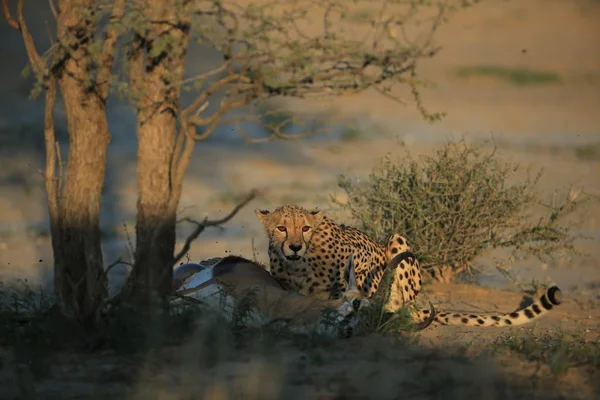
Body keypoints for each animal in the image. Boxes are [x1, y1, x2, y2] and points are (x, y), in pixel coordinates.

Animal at [254, 205, 564, 326]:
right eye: (281, 228)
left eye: (306, 228)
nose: (295, 246)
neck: (300, 265)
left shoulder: (364, 257)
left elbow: (363, 281)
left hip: (399, 241)